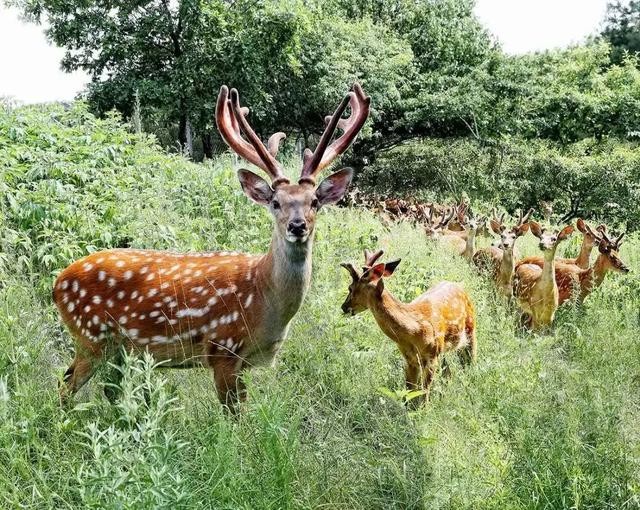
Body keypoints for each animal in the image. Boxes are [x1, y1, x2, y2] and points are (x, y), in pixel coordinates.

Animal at [55, 83, 370, 410]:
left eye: (315, 202)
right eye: (275, 202)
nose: (297, 226)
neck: (262, 296)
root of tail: (57, 283)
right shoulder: (222, 348)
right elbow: (234, 416)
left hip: (113, 348)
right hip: (91, 337)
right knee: (65, 388)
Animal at [340, 249, 476, 408]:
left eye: (350, 288)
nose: (343, 307)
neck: (413, 331)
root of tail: (459, 285)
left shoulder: (431, 356)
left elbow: (424, 393)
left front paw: (424, 411)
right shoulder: (410, 359)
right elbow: (409, 393)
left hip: (470, 329)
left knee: (470, 363)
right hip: (444, 349)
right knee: (448, 371)